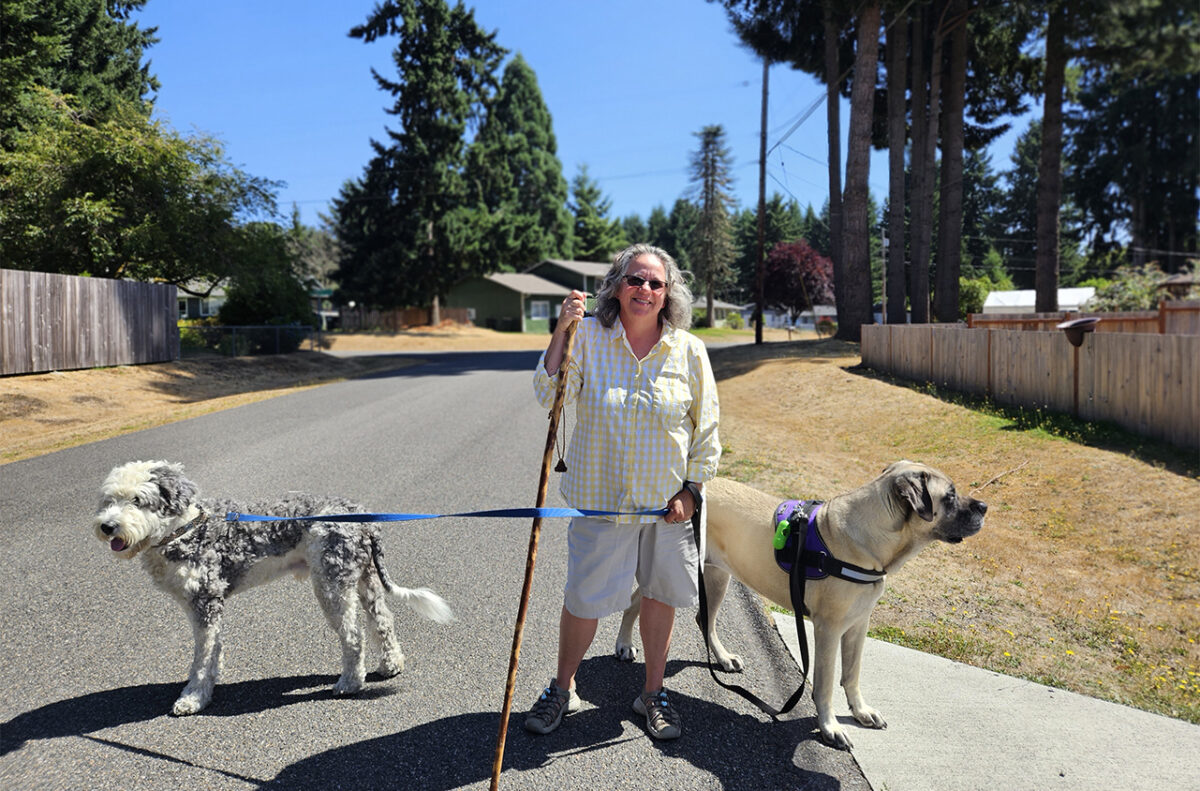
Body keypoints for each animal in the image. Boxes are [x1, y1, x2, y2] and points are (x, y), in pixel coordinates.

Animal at [90, 460, 453, 715]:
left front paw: (194, 698)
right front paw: (209, 683)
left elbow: (202, 657)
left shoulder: (205, 601)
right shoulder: (204, 606)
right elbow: (213, 651)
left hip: (331, 583)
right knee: (383, 621)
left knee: (353, 634)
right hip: (361, 578)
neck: (186, 528)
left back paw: (350, 682)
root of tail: (363, 517)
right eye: (108, 500)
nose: (107, 526)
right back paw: (391, 665)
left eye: (139, 500)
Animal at [619, 460, 984, 744]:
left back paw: (722, 658)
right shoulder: (829, 629)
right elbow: (825, 682)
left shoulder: (858, 624)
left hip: (717, 574)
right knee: (637, 600)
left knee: (703, 619)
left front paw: (861, 711)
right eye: (950, 495)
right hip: (681, 570)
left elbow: (852, 674)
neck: (874, 538)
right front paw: (829, 726)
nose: (984, 507)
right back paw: (624, 644)